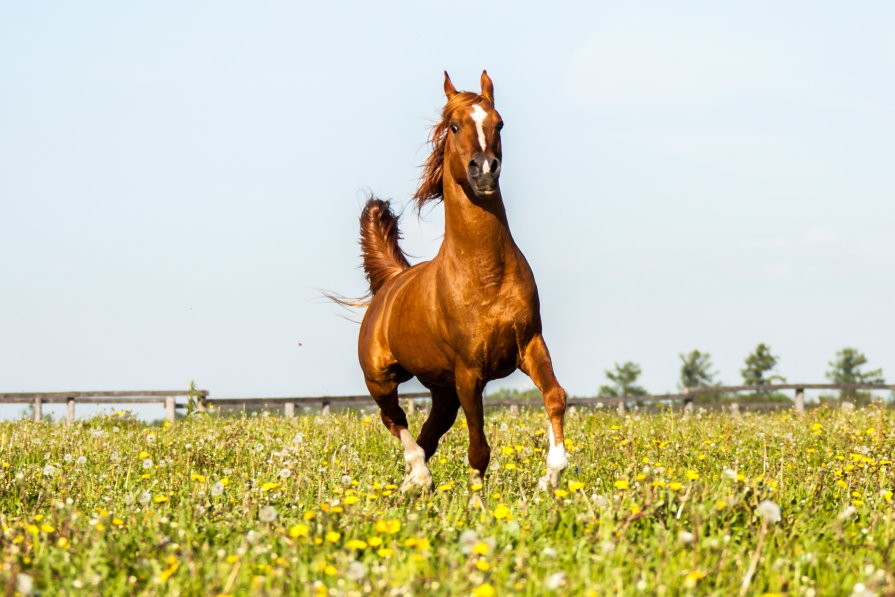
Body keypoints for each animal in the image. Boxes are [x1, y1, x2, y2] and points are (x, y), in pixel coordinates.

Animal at [356, 71, 568, 488]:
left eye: (498, 123)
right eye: (454, 126)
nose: (484, 169)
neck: (486, 275)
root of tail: (391, 282)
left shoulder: (531, 346)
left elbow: (556, 396)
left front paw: (551, 476)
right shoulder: (469, 372)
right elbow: (478, 447)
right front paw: (477, 498)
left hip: (441, 388)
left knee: (430, 430)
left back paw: (411, 484)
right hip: (382, 378)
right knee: (396, 420)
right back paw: (419, 476)